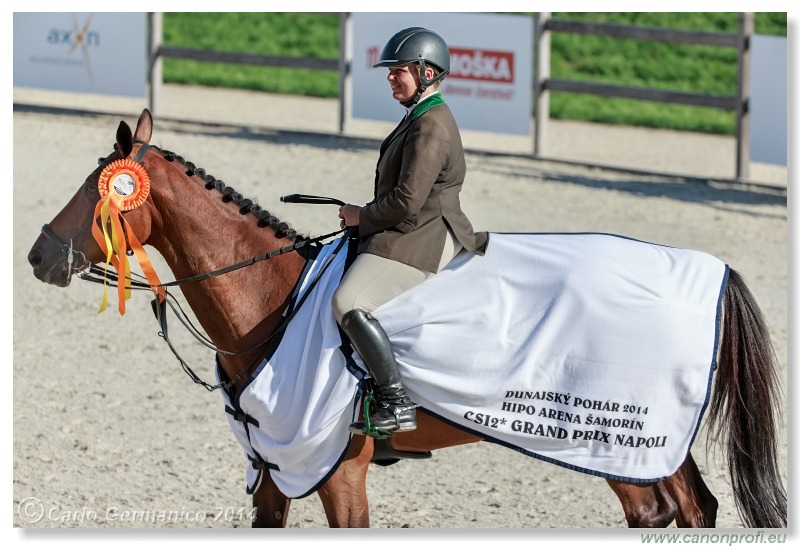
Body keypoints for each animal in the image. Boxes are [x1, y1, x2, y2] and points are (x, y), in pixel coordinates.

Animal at [26, 111, 788, 532]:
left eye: (99, 193)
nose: (38, 254)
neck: (274, 300)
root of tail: (706, 269)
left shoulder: (337, 468)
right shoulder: (273, 465)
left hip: (611, 440)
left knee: (654, 515)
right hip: (659, 441)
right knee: (695, 510)